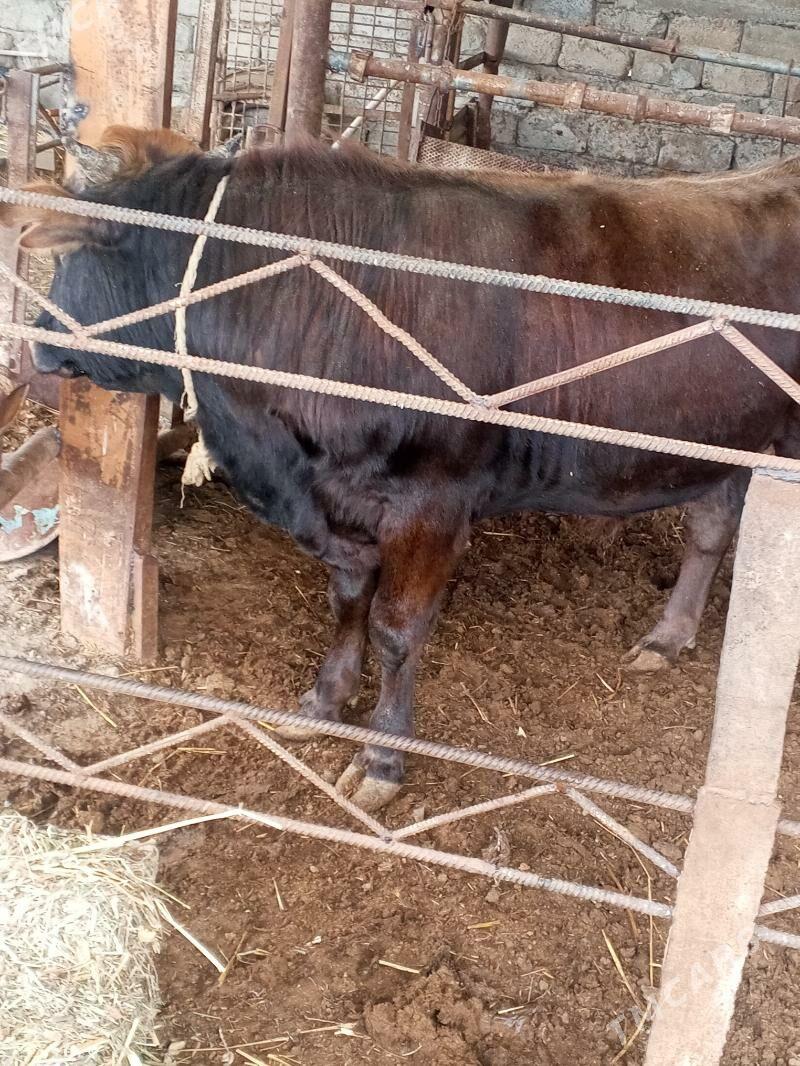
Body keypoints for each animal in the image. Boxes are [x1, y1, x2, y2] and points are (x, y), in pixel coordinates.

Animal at [3, 125, 800, 809]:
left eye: (65, 260)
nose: (35, 346)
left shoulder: (432, 503)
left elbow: (395, 627)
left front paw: (383, 759)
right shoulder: (336, 500)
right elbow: (347, 598)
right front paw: (324, 700)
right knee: (712, 525)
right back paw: (669, 635)